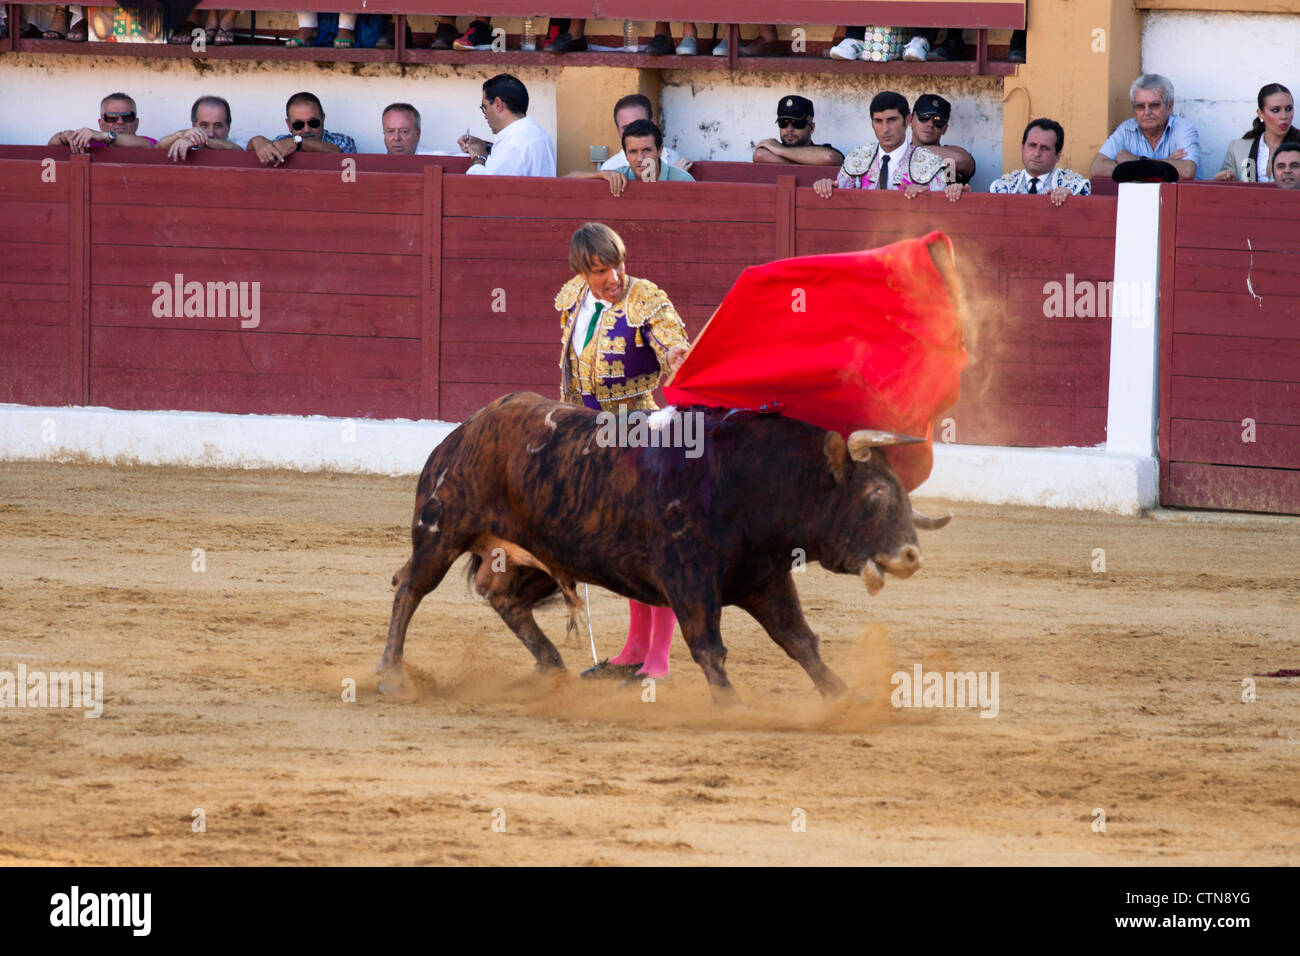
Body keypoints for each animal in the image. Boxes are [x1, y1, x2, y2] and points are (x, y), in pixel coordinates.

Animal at [379, 392, 951, 707]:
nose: (910, 555)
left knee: (504, 598)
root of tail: (467, 429)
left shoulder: (767, 578)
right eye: (874, 493)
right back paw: (390, 675)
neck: (751, 480)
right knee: (410, 587)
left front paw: (844, 698)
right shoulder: (688, 576)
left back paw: (552, 668)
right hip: (441, 529)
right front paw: (733, 707)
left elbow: (800, 641)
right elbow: (709, 645)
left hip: (545, 552)